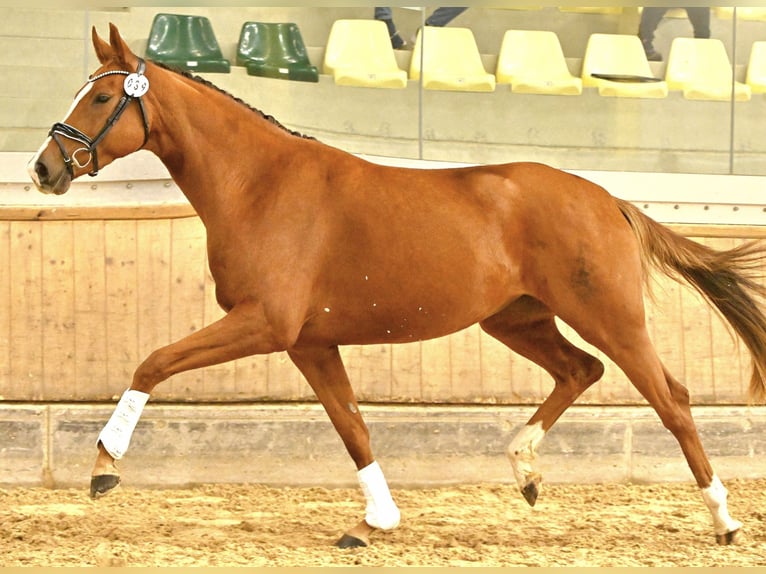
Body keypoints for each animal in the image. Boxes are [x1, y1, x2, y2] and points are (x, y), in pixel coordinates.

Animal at [30, 24, 766, 552]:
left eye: (101, 98)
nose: (43, 168)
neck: (260, 185)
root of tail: (607, 198)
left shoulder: (265, 323)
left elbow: (153, 362)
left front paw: (104, 467)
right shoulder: (309, 343)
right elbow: (352, 425)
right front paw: (375, 521)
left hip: (608, 315)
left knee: (671, 398)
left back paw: (723, 521)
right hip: (517, 319)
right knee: (580, 371)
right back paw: (524, 469)